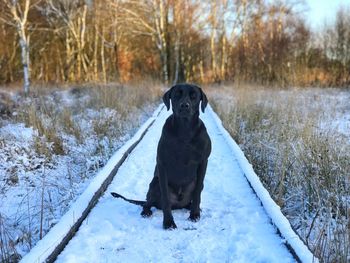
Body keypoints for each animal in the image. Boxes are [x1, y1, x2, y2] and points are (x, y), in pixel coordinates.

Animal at [112, 83, 211, 230]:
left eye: (194, 96)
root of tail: (178, 205)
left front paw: (195, 214)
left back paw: (191, 207)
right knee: (147, 203)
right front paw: (168, 222)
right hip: (154, 183)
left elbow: (197, 193)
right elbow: (165, 198)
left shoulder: (203, 162)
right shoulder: (162, 164)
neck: (185, 130)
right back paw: (146, 211)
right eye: (177, 94)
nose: (184, 105)